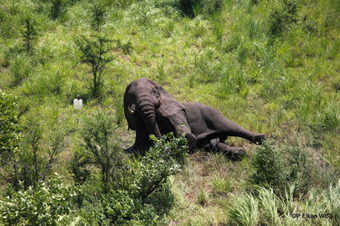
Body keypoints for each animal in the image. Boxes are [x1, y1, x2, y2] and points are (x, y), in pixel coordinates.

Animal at [123, 78, 266, 160]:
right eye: (130, 97)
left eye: (154, 92)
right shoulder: (140, 125)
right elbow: (138, 147)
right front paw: (127, 152)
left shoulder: (175, 112)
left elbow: (187, 134)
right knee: (210, 144)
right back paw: (239, 152)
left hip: (213, 114)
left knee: (231, 127)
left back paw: (261, 139)